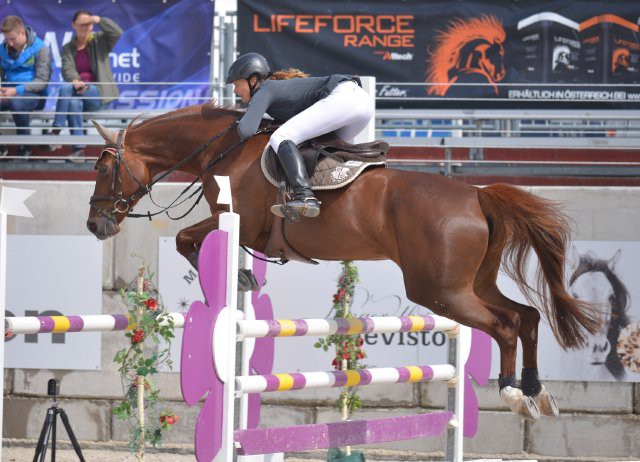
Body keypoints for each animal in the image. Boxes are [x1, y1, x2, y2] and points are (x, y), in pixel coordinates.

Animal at [86, 104, 600, 418]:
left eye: (102, 166)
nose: (95, 225)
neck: (221, 149)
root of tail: (477, 196)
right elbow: (189, 239)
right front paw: (245, 276)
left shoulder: (240, 223)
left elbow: (185, 238)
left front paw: (241, 276)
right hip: (472, 284)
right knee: (527, 316)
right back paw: (537, 392)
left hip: (441, 291)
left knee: (506, 325)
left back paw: (513, 392)